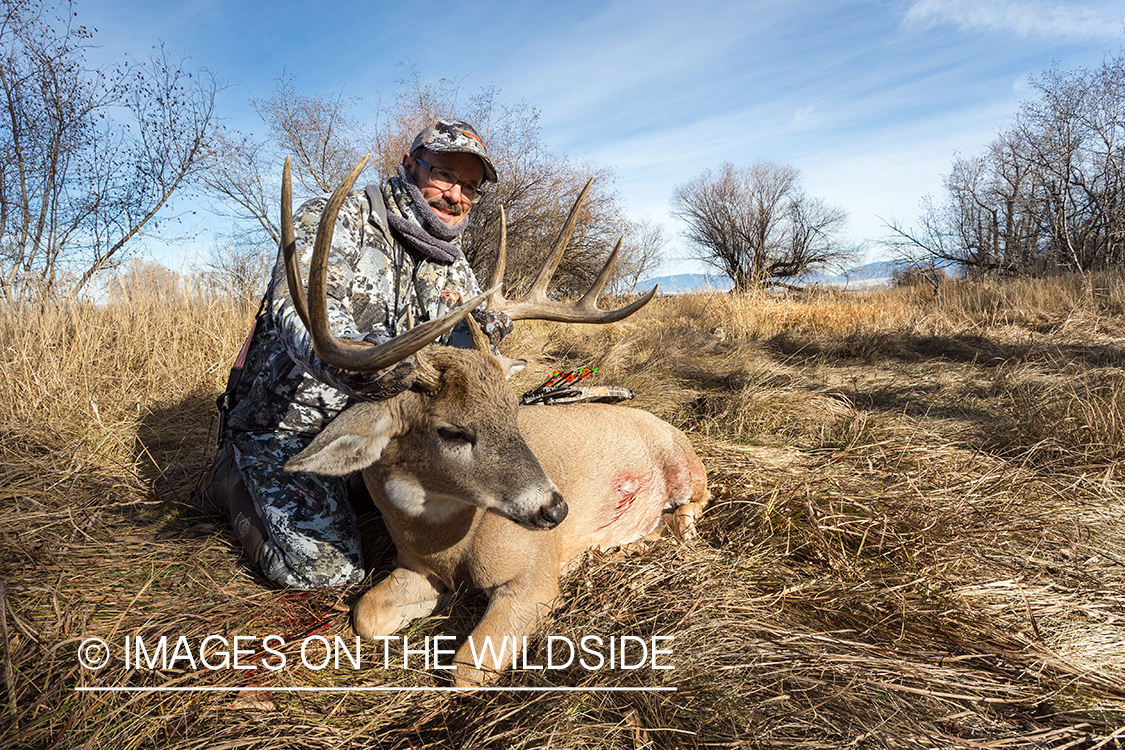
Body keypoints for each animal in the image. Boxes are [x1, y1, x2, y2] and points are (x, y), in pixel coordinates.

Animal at [277, 157, 706, 688]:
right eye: (452, 430)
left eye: (512, 411)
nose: (555, 511)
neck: (448, 546)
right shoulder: (415, 568)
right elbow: (366, 613)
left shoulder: (534, 576)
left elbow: (465, 669)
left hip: (685, 471)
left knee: (692, 515)